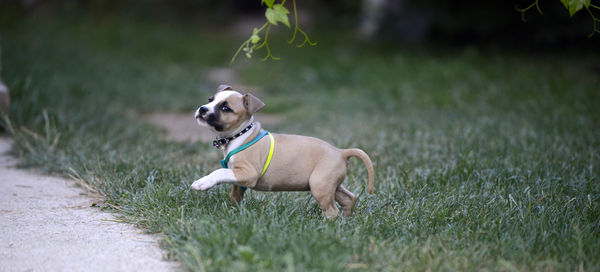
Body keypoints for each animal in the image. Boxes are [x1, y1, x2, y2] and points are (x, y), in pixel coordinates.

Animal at [190, 84, 372, 217]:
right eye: (210, 100)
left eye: (225, 108)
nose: (203, 109)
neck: (239, 135)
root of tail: (341, 151)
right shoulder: (238, 177)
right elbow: (235, 194)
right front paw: (233, 210)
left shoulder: (248, 173)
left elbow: (219, 172)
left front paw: (202, 182)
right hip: (329, 183)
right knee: (349, 198)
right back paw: (345, 221)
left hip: (319, 185)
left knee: (332, 211)